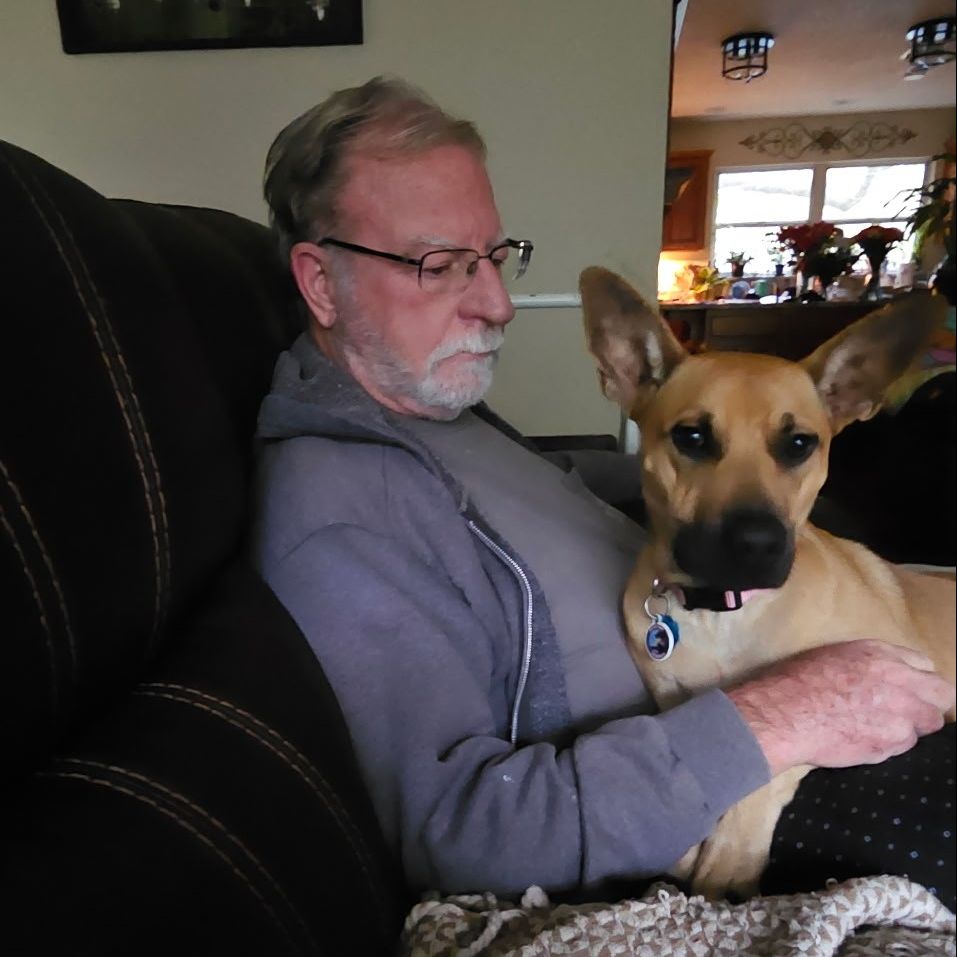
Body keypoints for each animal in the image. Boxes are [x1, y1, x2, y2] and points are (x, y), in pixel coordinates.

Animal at [578, 266, 956, 900]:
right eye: (692, 438)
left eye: (799, 444)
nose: (757, 544)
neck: (723, 612)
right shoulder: (675, 700)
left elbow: (768, 770)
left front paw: (728, 856)